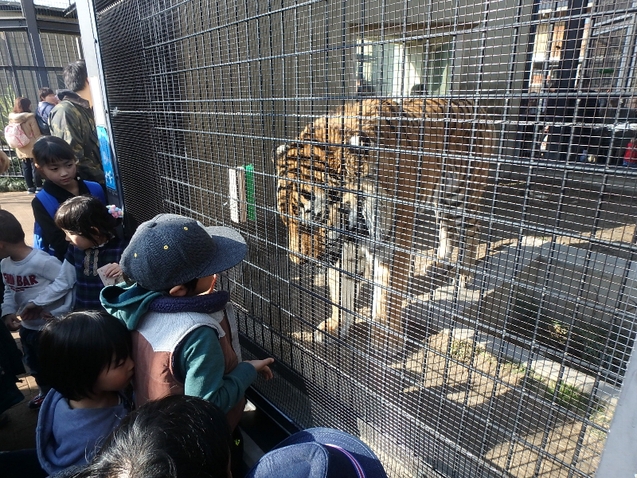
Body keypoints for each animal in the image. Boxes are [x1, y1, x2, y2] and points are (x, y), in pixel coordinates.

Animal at [274, 100, 492, 348]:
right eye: (286, 222)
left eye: (313, 222)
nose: (297, 262)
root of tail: (476, 103)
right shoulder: (344, 248)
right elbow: (341, 288)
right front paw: (335, 326)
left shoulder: (392, 245)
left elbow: (387, 295)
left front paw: (385, 340)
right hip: (440, 200)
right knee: (445, 226)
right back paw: (439, 262)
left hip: (461, 196)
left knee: (472, 233)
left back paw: (464, 274)